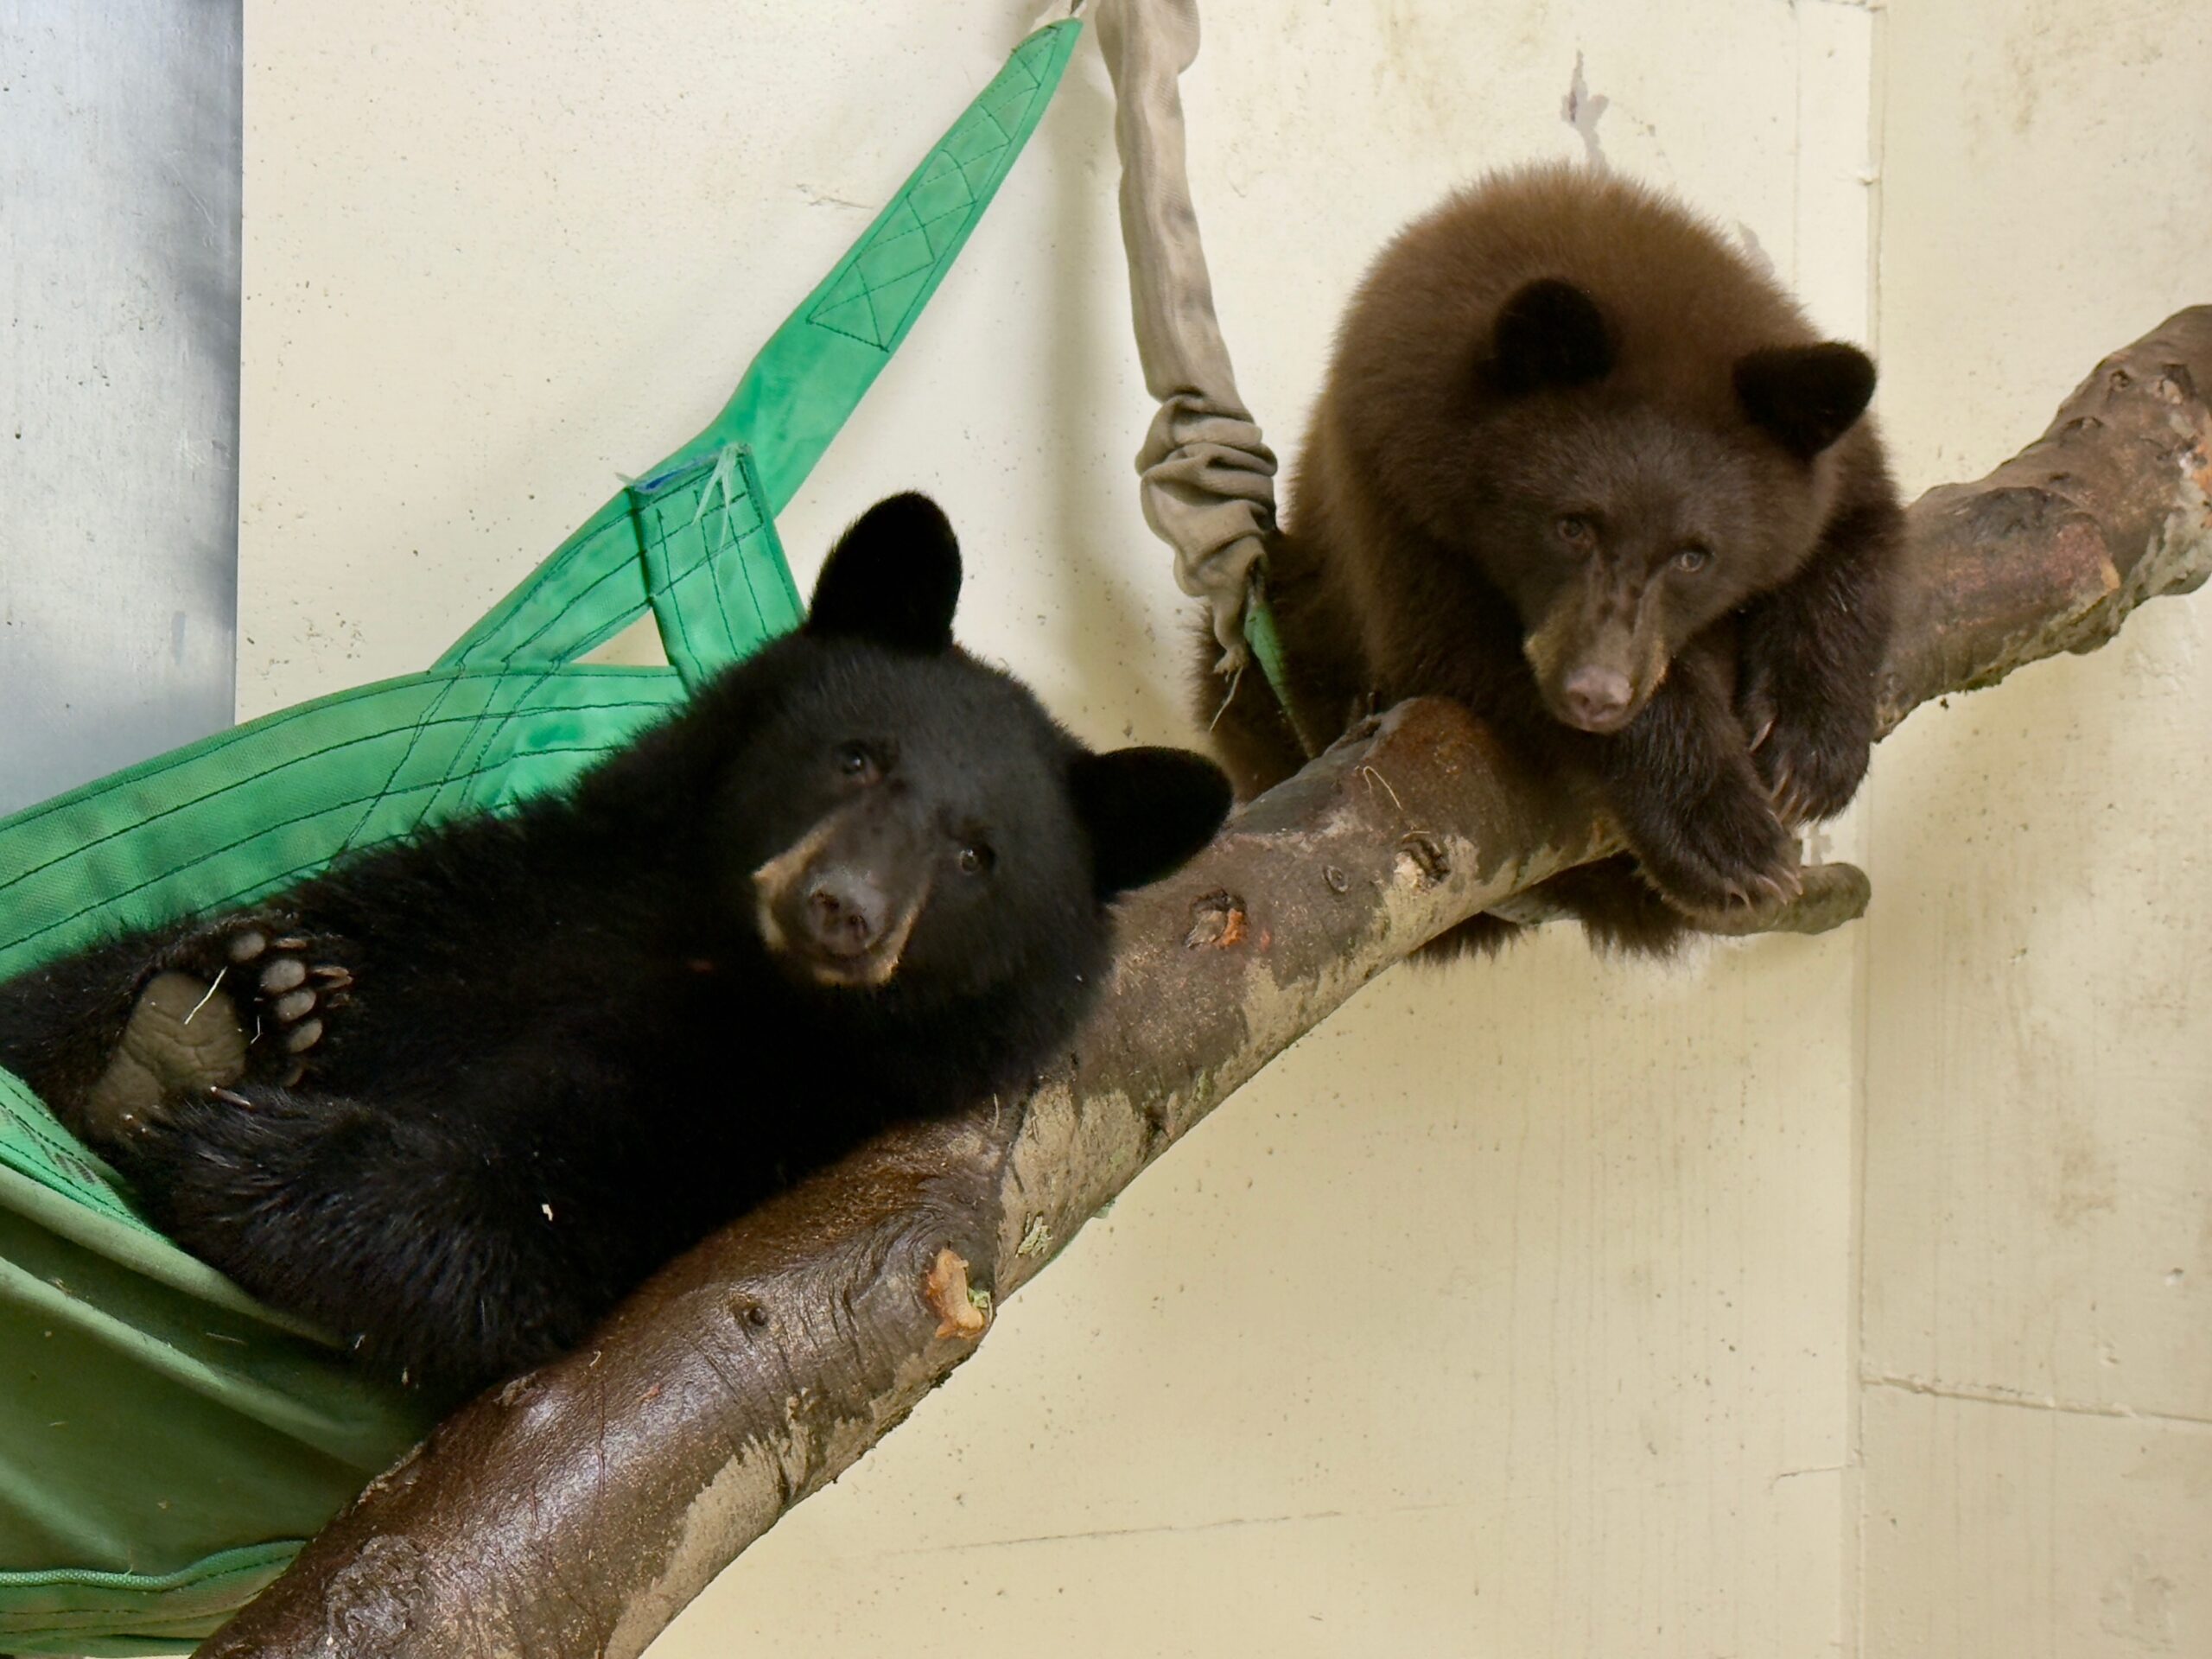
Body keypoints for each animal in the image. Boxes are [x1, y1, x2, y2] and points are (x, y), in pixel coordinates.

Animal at [0, 492, 1233, 1397]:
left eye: (979, 856)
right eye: (857, 756)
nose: (842, 909)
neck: (707, 952)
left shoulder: (755, 1122)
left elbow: (530, 1229)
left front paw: (258, 1155)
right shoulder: (509, 901)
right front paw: (229, 1001)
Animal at [1201, 162, 1903, 953]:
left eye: (1695, 557)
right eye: (1571, 526)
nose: (1596, 694)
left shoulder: (1838, 467)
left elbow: (1861, 542)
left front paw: (1811, 746)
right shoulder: (1394, 492)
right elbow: (1456, 651)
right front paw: (1724, 836)